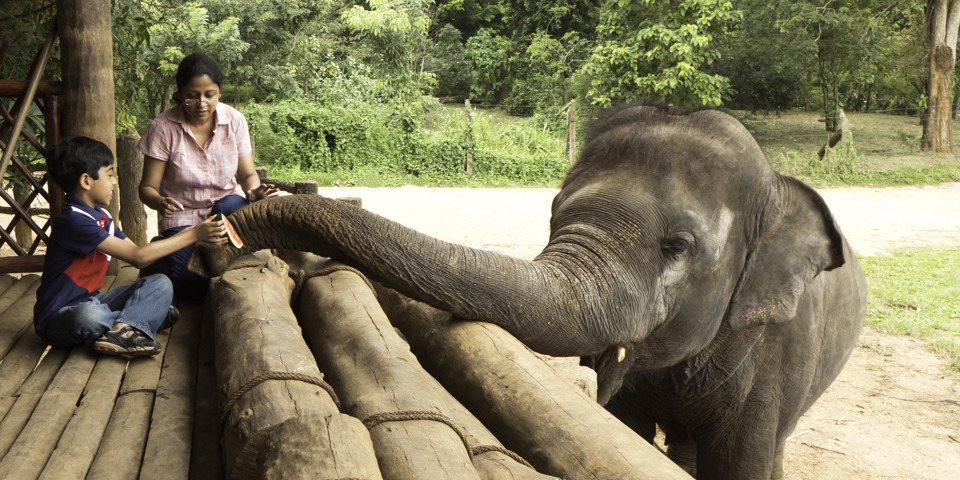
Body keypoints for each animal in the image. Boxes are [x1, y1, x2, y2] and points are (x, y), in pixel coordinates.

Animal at [189, 103, 872, 478]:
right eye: (553, 214)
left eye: (677, 247)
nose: (222, 234)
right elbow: (622, 428)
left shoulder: (778, 349)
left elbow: (741, 463)